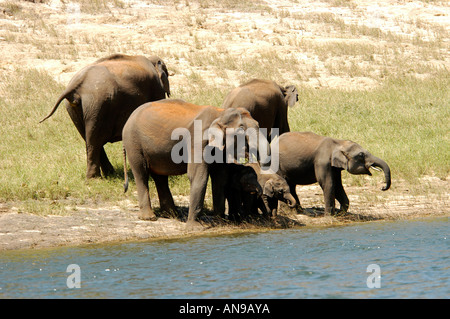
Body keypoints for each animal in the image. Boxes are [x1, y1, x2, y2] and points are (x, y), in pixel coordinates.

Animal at [39, 54, 171, 180]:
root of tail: (76, 83)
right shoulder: (156, 89)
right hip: (97, 104)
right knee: (94, 140)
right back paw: (96, 178)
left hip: (81, 107)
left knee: (90, 139)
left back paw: (106, 174)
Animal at [121, 99, 268, 229]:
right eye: (241, 130)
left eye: (258, 124)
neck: (220, 114)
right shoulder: (197, 140)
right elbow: (198, 176)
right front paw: (194, 228)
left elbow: (220, 178)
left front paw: (219, 222)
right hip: (133, 143)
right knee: (141, 174)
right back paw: (149, 218)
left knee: (160, 177)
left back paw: (171, 214)